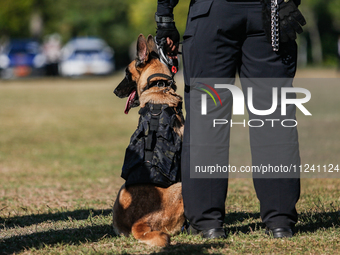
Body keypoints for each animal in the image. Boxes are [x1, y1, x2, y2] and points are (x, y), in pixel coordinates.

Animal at [113, 34, 185, 247]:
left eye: (126, 74)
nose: (115, 91)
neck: (158, 85)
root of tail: (140, 223)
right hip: (181, 187)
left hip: (121, 191)